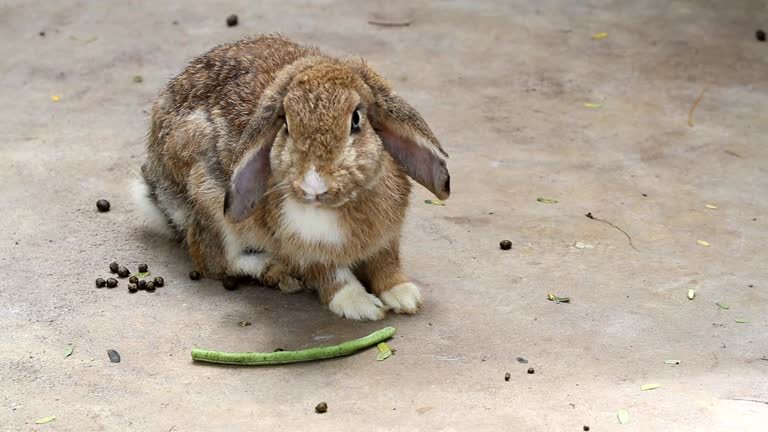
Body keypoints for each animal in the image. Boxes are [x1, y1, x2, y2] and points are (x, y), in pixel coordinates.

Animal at [133, 34, 450, 320]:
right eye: (285, 124)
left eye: (356, 120)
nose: (314, 185)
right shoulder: (302, 249)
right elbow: (330, 275)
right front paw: (361, 306)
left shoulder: (386, 239)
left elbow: (386, 262)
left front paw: (404, 295)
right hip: (209, 200)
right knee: (215, 259)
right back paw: (275, 271)